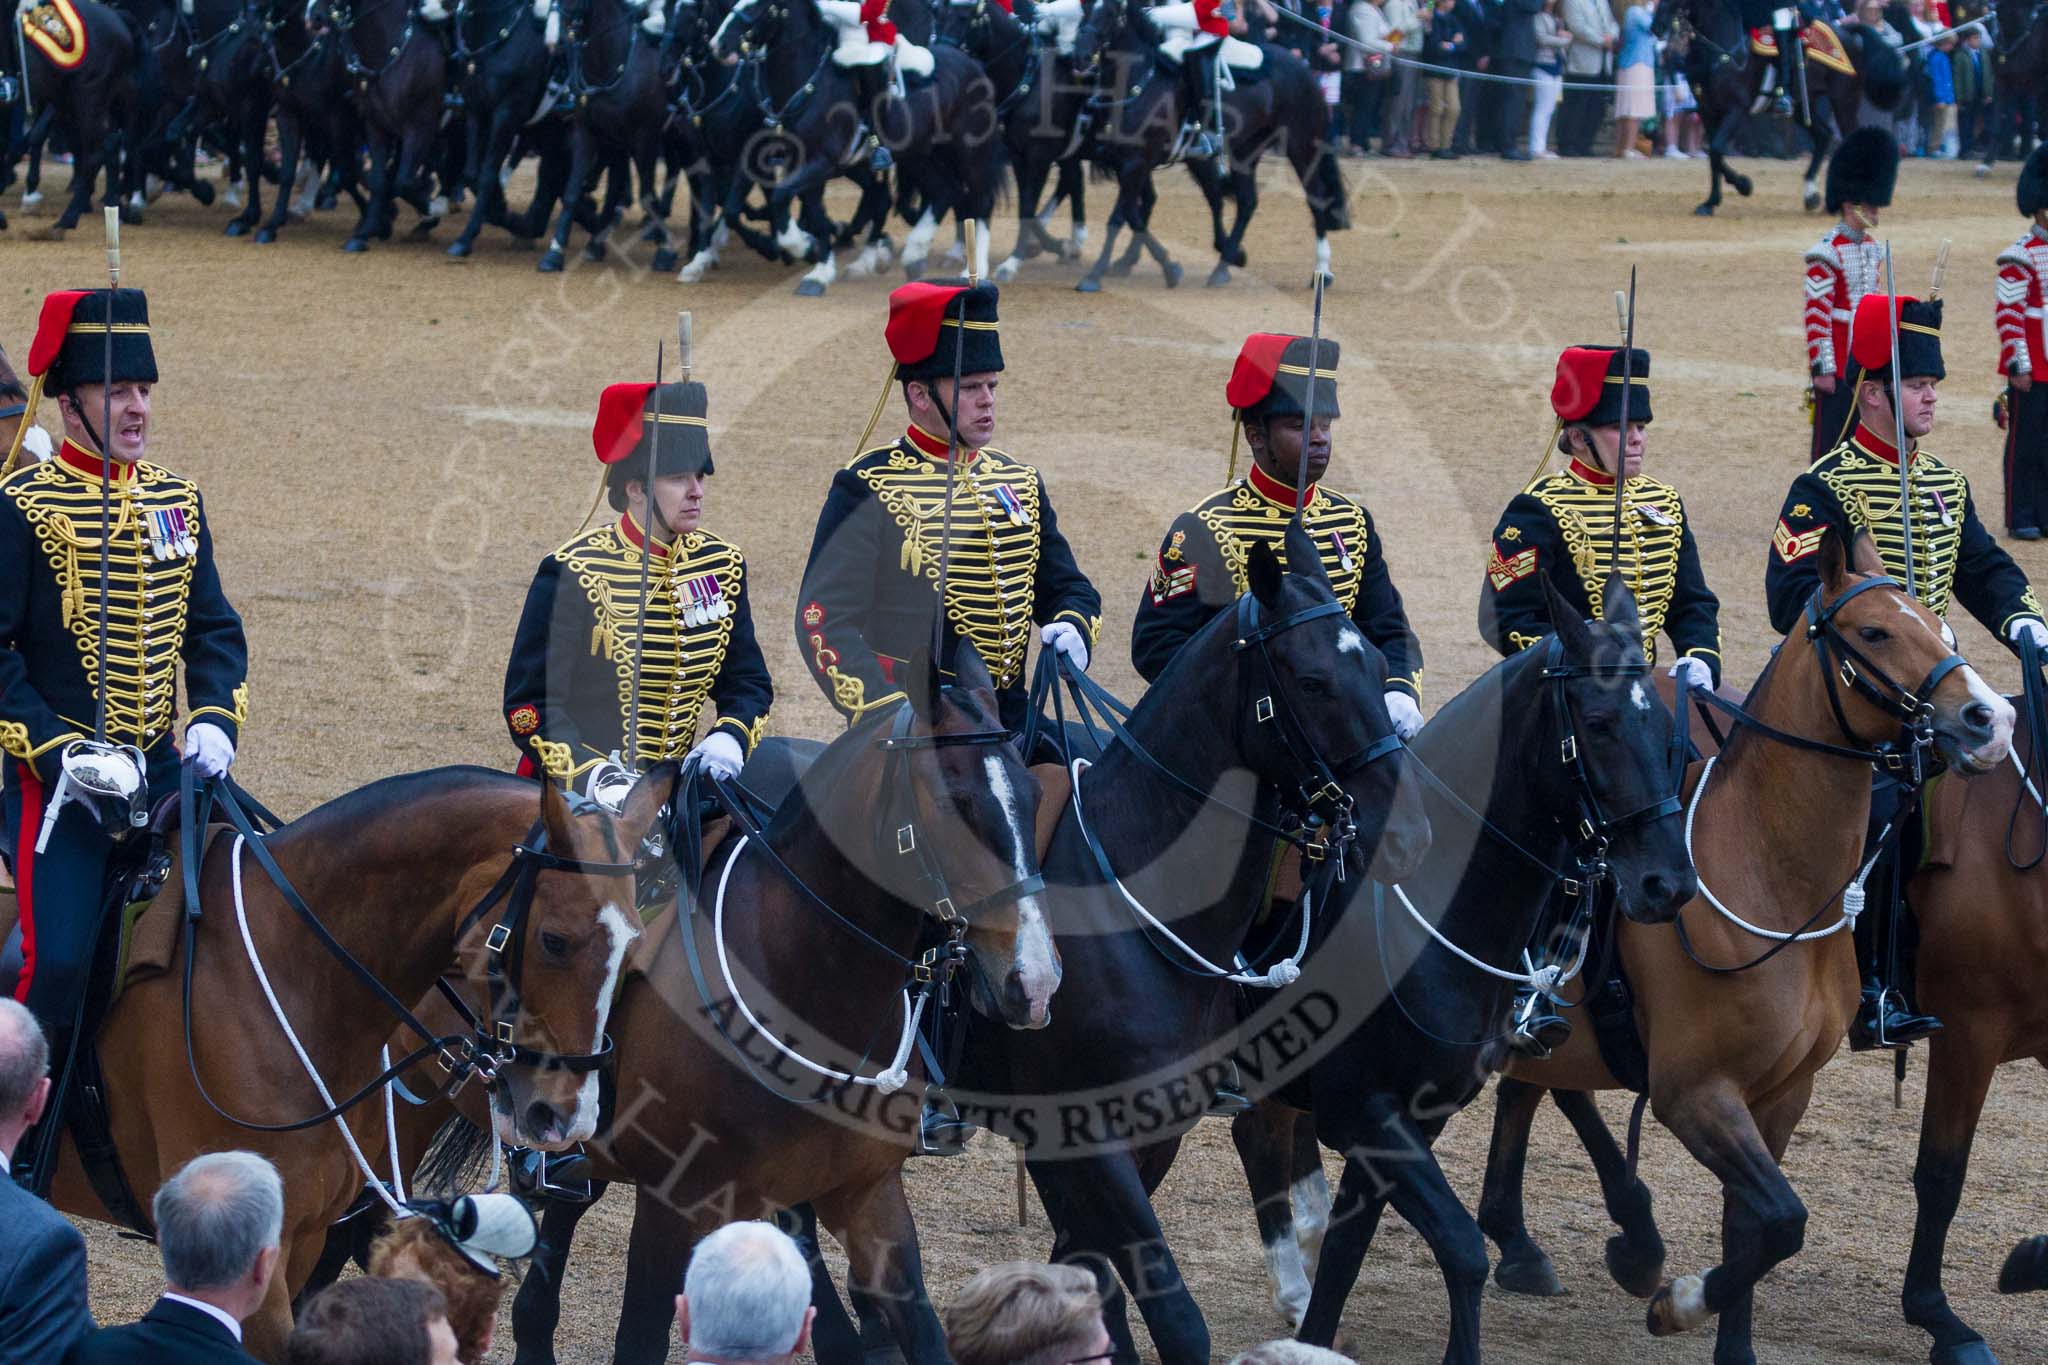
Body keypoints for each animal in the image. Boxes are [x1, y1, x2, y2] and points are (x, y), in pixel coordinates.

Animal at [1220, 577, 1687, 1365]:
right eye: (1597, 723)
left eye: (1667, 731)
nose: (1668, 883)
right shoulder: (1363, 1113)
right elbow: (1462, 1250)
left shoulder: (1411, 1119)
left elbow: (1347, 1255)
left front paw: (1315, 1329)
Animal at [1474, 532, 2015, 1365]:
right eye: (1874, 632)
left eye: (1941, 625)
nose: (1991, 718)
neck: (1768, 877)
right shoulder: (1696, 1093)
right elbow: (1782, 1220)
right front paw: (1677, 1305)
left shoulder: (1780, 1093)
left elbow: (1754, 1226)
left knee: (1542, 1086)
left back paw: (1583, 1239)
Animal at [1646, 0, 1900, 214]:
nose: (1657, 27)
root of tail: (1848, 32)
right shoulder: (1707, 110)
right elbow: (1713, 156)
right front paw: (1712, 201)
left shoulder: (1735, 109)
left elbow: (1717, 149)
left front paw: (1742, 186)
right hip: (1801, 107)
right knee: (1823, 136)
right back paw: (1812, 195)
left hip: (1843, 101)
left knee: (1851, 139)